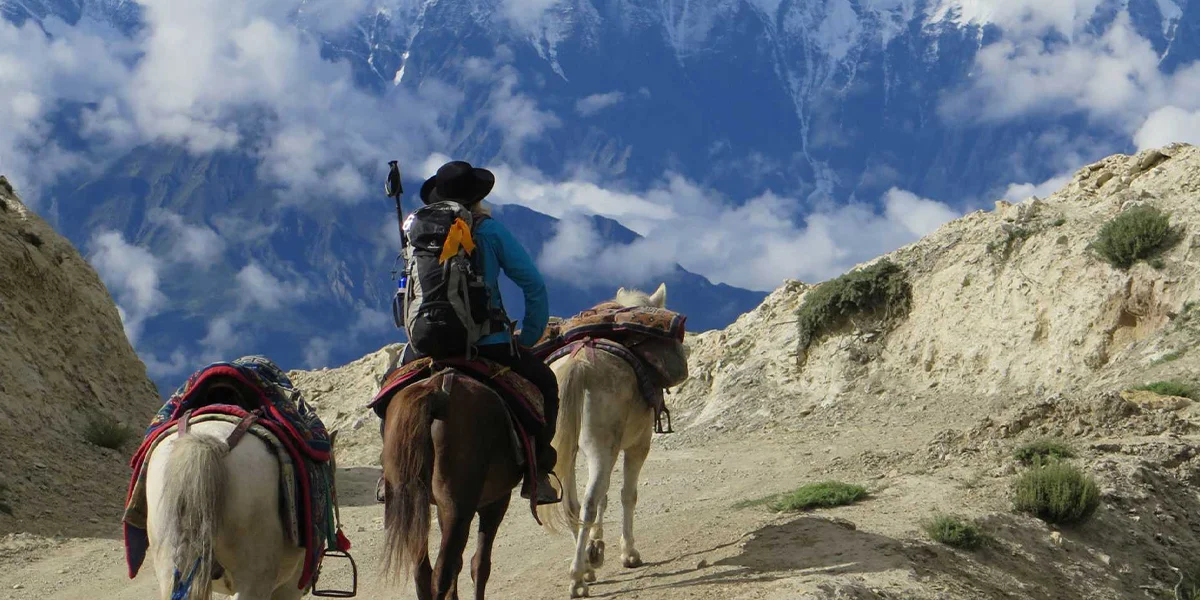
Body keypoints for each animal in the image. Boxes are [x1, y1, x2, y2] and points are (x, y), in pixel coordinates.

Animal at [381, 370, 524, 600]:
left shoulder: (442, 509)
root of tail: (435, 389)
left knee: (424, 573)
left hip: (414, 505)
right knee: (441, 574)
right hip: (458, 509)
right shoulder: (497, 501)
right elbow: (480, 564)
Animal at [542, 283, 683, 598]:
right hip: (601, 448)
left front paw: (596, 548)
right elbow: (625, 495)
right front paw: (628, 553)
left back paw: (586, 567)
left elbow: (605, 496)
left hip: (569, 451)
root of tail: (580, 362)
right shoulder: (637, 445)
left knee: (573, 505)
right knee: (589, 501)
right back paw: (577, 578)